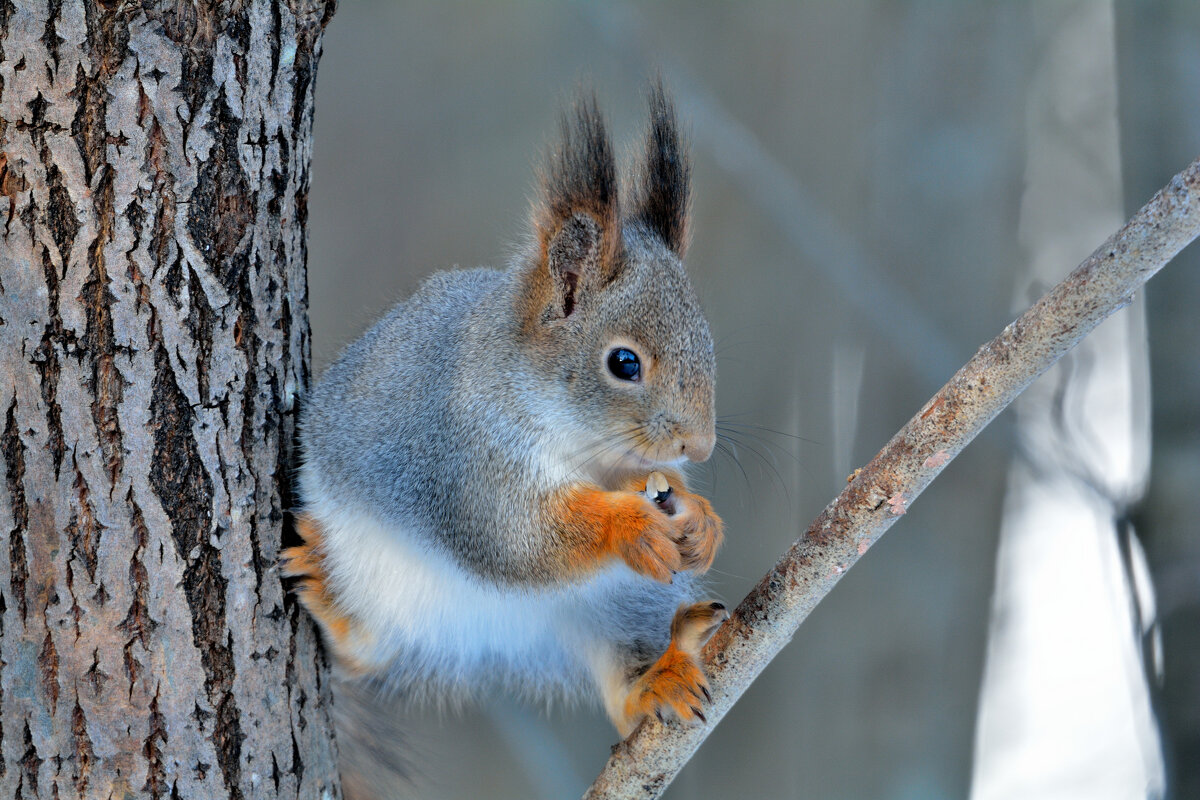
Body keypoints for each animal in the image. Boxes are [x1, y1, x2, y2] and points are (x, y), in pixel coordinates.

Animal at [284, 84, 724, 772]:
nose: (698, 445)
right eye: (624, 363)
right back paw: (331, 601)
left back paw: (656, 680)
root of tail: (486, 640)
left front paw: (701, 519)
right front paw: (626, 525)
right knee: (366, 650)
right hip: (369, 568)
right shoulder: (464, 454)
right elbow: (514, 537)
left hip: (618, 603)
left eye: (707, 344)